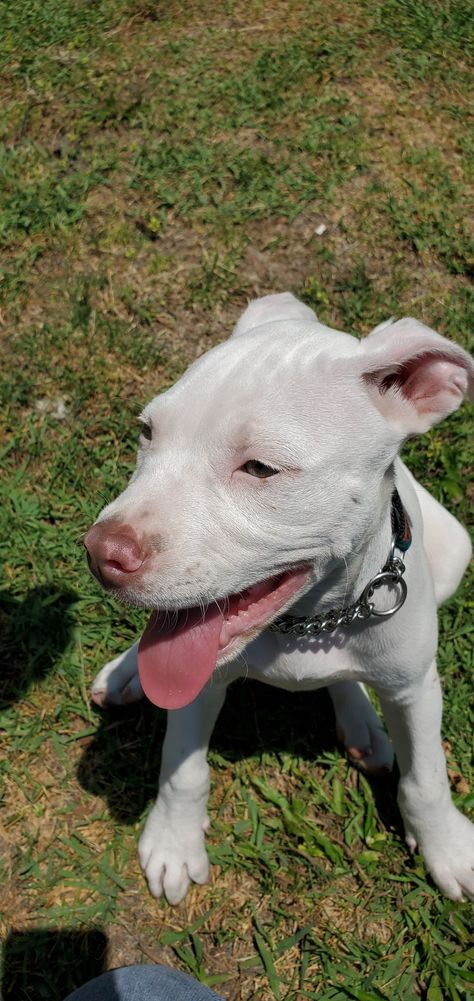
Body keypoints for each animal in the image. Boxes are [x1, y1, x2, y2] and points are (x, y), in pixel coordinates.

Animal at [85, 292, 474, 908]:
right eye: (147, 432)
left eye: (260, 468)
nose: (101, 555)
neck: (310, 623)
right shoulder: (196, 684)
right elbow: (183, 766)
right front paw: (173, 841)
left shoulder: (416, 688)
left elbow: (426, 777)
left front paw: (448, 847)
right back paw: (127, 673)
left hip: (457, 550)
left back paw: (363, 722)